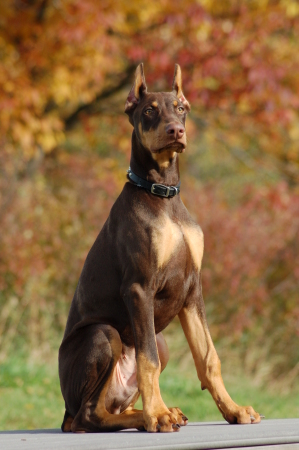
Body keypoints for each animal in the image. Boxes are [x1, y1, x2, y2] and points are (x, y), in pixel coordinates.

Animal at [59, 63, 262, 432]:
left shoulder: (193, 288)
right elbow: (147, 360)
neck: (163, 193)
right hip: (104, 334)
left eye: (180, 108)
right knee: (89, 414)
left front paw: (233, 409)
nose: (176, 130)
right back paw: (152, 414)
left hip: (161, 340)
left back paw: (153, 413)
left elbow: (209, 357)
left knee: (113, 406)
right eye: (149, 111)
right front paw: (157, 414)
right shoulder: (140, 288)